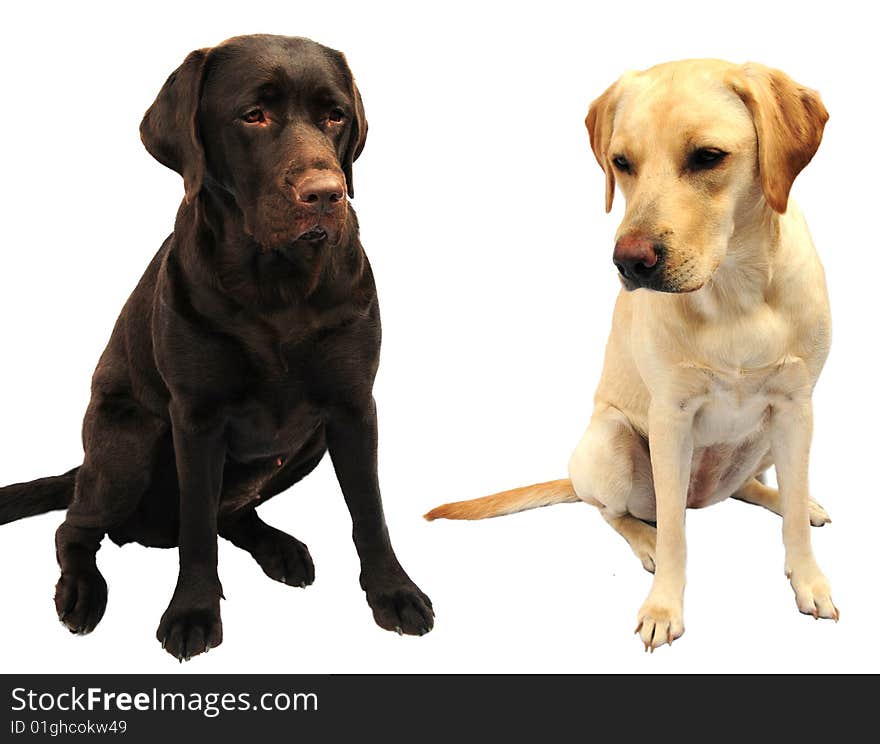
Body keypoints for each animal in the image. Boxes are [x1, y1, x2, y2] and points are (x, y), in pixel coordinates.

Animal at [0, 33, 434, 664]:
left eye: (335, 116)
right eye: (253, 116)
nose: (326, 194)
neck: (277, 285)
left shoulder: (354, 407)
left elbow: (369, 511)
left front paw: (394, 592)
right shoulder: (196, 418)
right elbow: (198, 529)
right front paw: (192, 613)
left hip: (307, 443)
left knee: (237, 512)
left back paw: (279, 548)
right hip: (127, 443)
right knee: (76, 526)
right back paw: (81, 591)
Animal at [428, 59, 840, 652]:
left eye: (708, 157)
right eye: (621, 163)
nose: (629, 262)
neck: (734, 290)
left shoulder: (795, 405)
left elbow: (792, 520)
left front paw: (808, 578)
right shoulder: (671, 418)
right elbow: (673, 536)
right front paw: (664, 606)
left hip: (767, 437)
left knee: (753, 487)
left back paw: (796, 502)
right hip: (611, 442)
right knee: (619, 512)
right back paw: (643, 539)